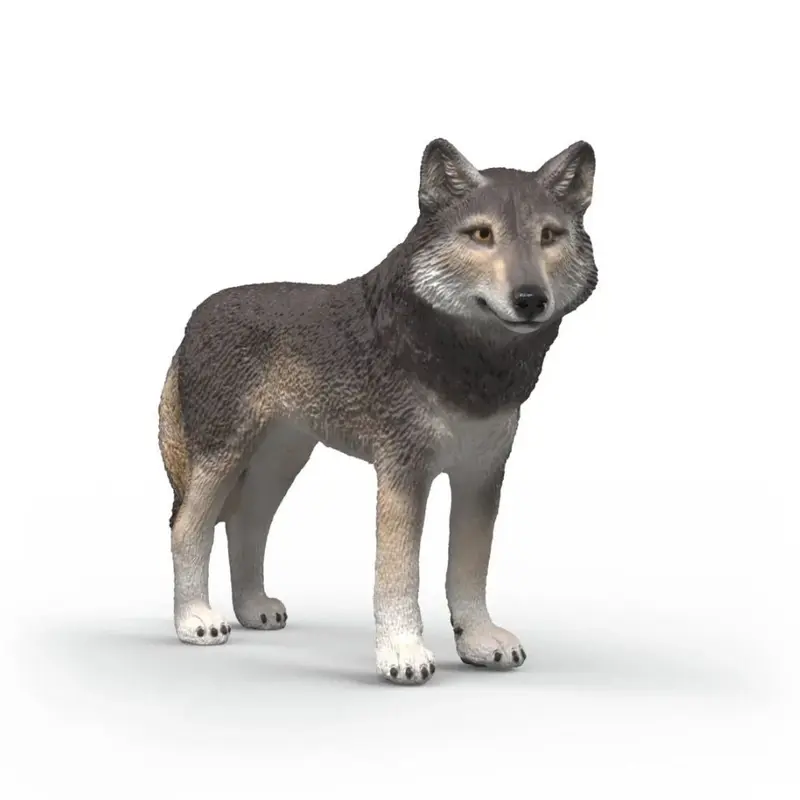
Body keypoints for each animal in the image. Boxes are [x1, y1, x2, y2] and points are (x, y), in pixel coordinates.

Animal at [158, 138, 598, 684]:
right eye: (482, 234)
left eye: (549, 236)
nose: (531, 299)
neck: (471, 364)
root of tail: (194, 319)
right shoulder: (403, 472)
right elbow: (399, 573)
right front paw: (403, 653)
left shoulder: (481, 474)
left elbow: (468, 569)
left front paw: (478, 640)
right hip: (222, 457)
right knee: (186, 528)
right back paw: (195, 620)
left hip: (279, 462)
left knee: (246, 524)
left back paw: (254, 608)